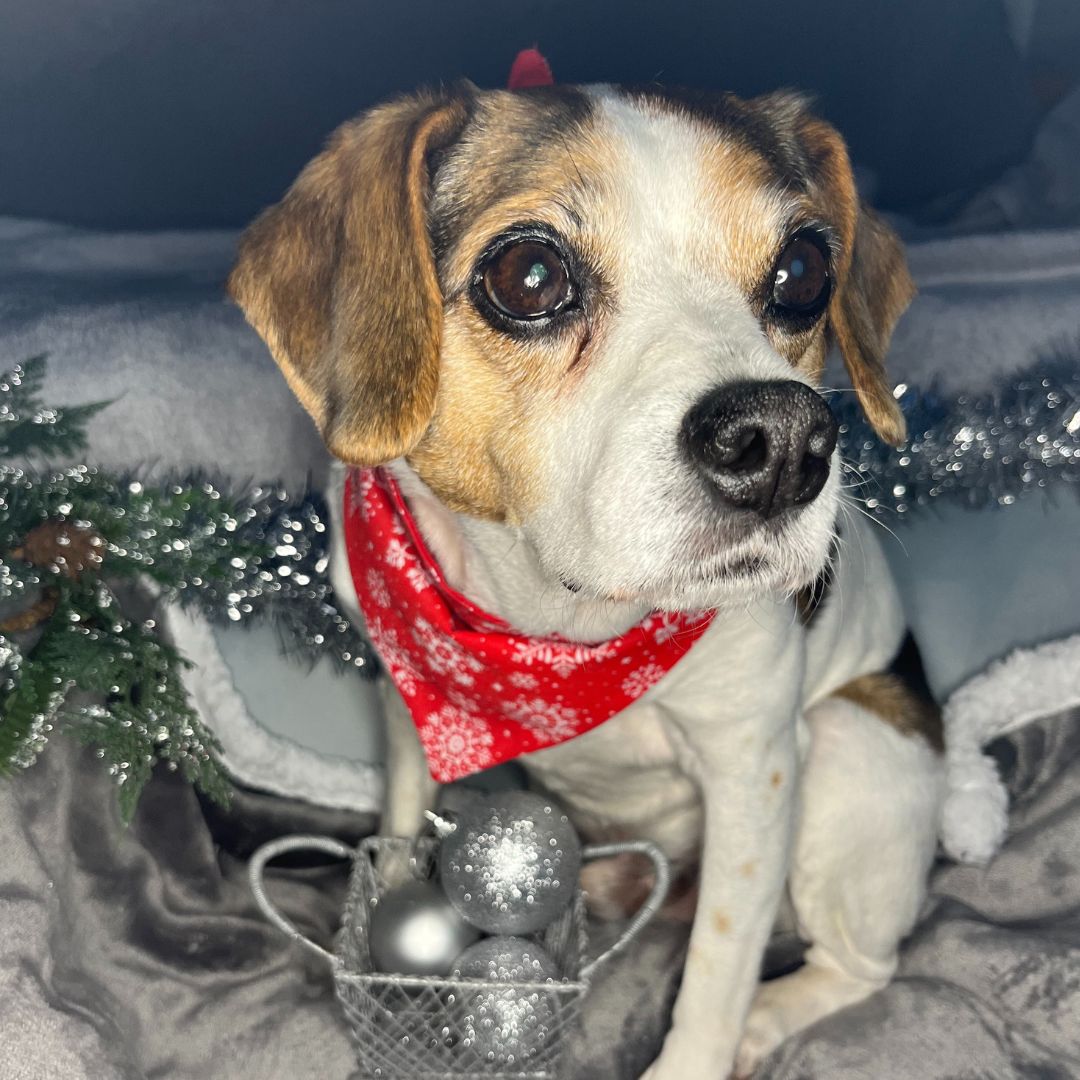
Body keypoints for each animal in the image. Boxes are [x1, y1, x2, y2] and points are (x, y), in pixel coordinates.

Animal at [230, 84, 946, 1080]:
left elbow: (715, 977)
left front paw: (705, 1045)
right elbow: (407, 812)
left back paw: (771, 1014)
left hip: (846, 744)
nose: (780, 444)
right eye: (529, 274)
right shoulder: (404, 693)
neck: (549, 628)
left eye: (804, 269)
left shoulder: (755, 774)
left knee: (861, 968)